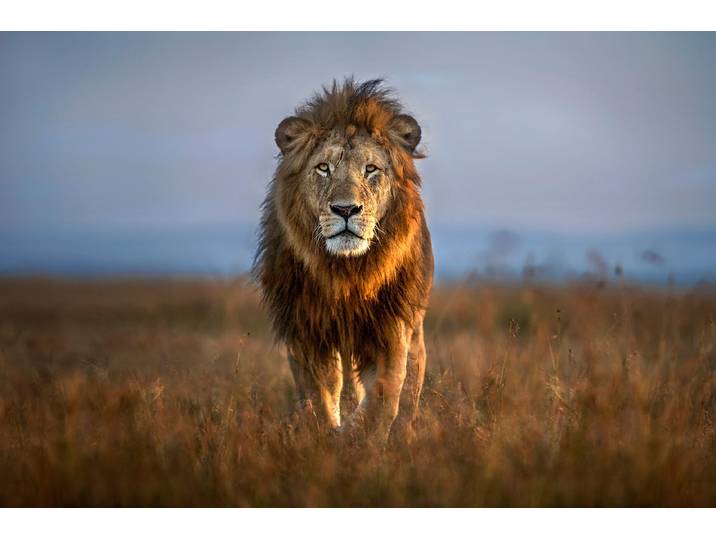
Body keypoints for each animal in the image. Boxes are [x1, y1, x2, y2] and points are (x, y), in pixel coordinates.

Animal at [253, 78, 433, 441]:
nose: (346, 209)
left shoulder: (391, 327)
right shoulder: (306, 330)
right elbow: (319, 395)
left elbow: (384, 396)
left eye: (371, 169)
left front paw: (358, 437)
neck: (347, 271)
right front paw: (327, 435)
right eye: (324, 168)